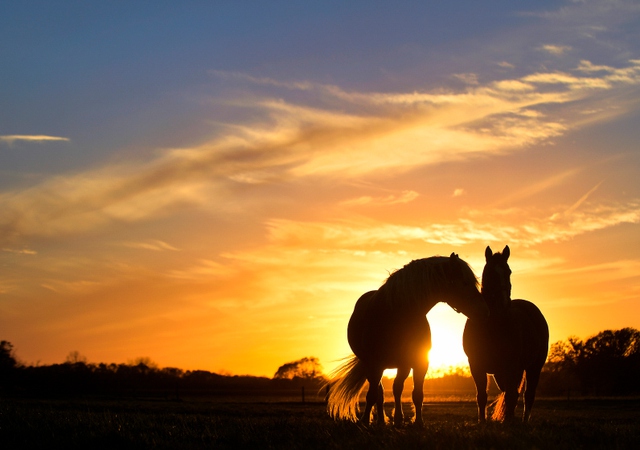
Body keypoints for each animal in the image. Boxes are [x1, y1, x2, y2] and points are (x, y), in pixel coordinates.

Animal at [328, 253, 488, 426]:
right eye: (464, 283)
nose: (484, 310)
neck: (397, 315)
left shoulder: (418, 363)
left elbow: (415, 393)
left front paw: (416, 422)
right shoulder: (374, 364)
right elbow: (372, 395)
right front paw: (365, 421)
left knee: (393, 389)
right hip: (373, 366)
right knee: (379, 393)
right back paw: (380, 421)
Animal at [462, 244, 548, 424]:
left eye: (508, 271)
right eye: (490, 272)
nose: (504, 304)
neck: (493, 325)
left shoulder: (512, 366)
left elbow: (511, 396)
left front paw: (508, 422)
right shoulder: (476, 365)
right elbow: (482, 396)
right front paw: (482, 422)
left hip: (534, 367)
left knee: (527, 395)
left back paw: (522, 421)